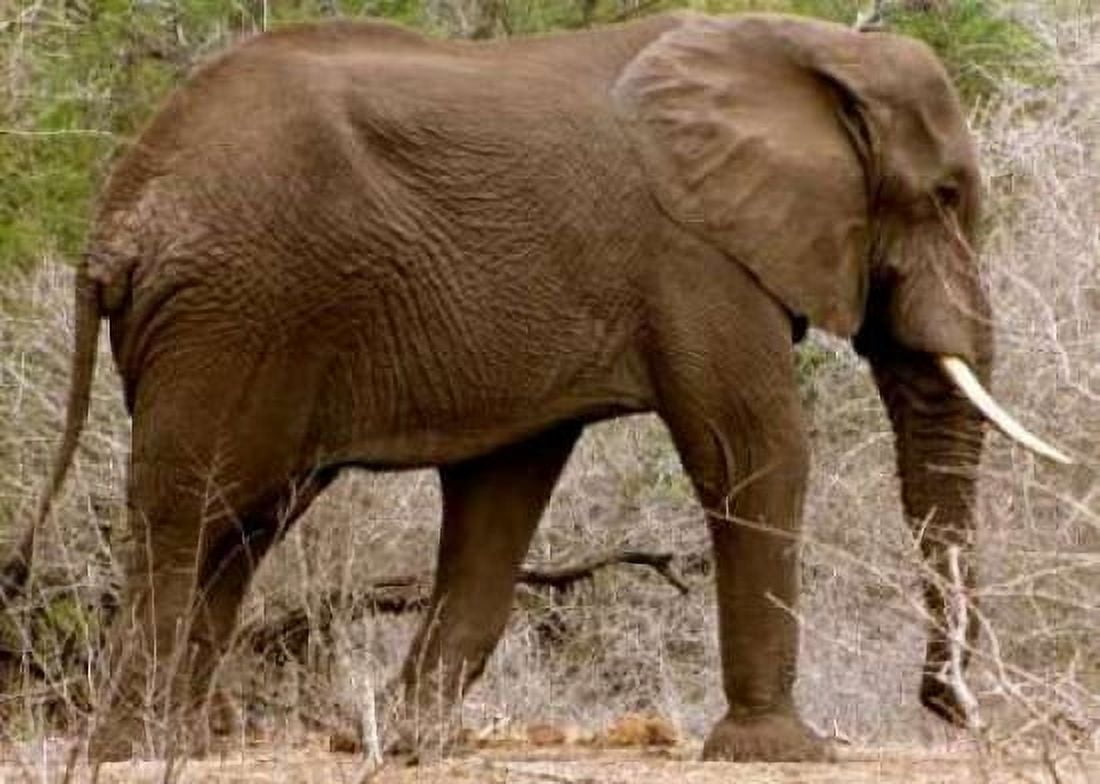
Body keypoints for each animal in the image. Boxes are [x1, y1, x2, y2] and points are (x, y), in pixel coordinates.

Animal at [0, 10, 1069, 763]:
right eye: (944, 197)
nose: (949, 707)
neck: (807, 46)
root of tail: (116, 224)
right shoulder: (693, 255)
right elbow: (754, 450)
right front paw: (781, 751)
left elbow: (502, 493)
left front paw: (412, 744)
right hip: (235, 310)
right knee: (188, 515)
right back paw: (131, 749)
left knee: (245, 520)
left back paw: (182, 741)